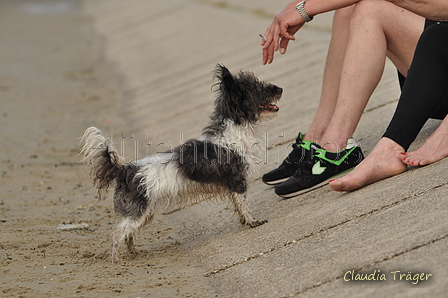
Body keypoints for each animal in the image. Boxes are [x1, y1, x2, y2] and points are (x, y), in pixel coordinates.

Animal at [80, 65, 282, 264]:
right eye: (257, 88)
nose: (279, 89)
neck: (235, 131)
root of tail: (124, 169)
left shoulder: (234, 186)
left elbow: (238, 206)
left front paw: (244, 221)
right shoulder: (238, 181)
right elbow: (245, 205)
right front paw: (253, 222)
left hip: (144, 214)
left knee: (127, 235)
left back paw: (134, 254)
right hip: (137, 213)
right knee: (117, 235)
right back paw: (116, 262)